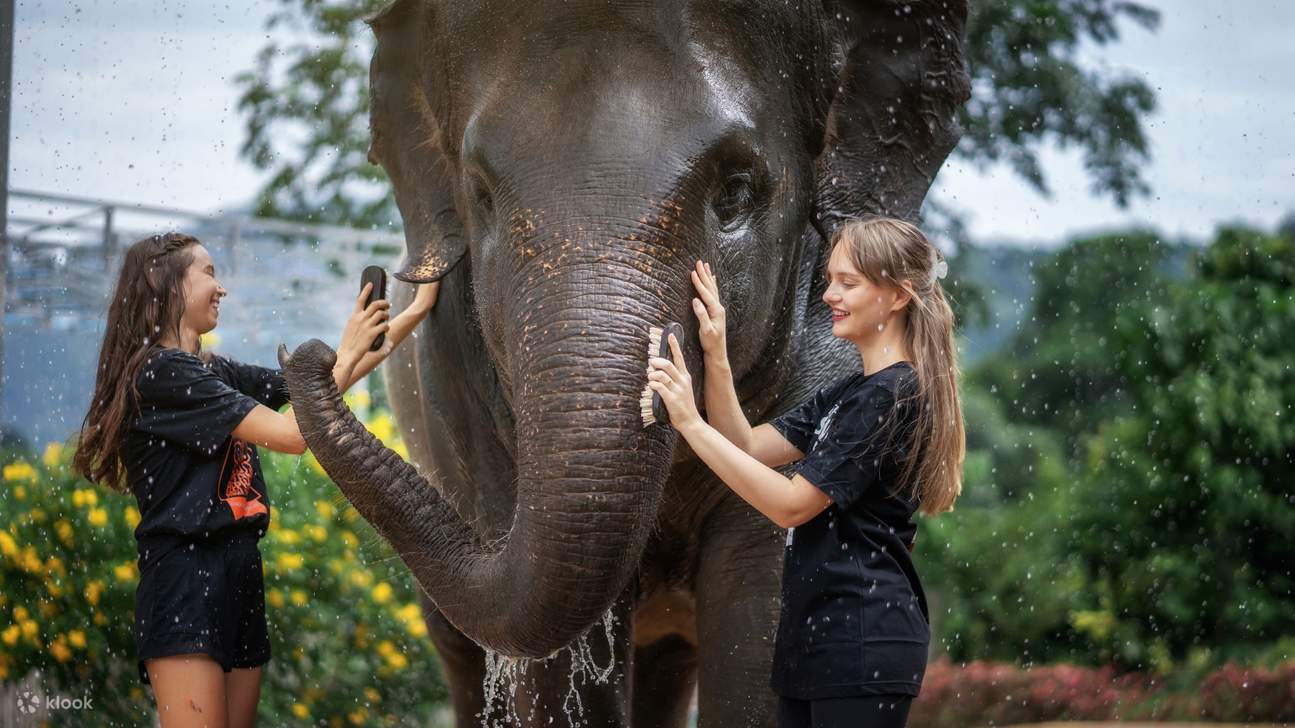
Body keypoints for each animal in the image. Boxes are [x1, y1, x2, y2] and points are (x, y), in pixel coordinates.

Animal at [280, 1, 969, 725]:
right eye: (481, 196)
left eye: (735, 193)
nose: (317, 347)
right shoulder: (456, 389)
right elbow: (559, 668)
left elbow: (766, 605)